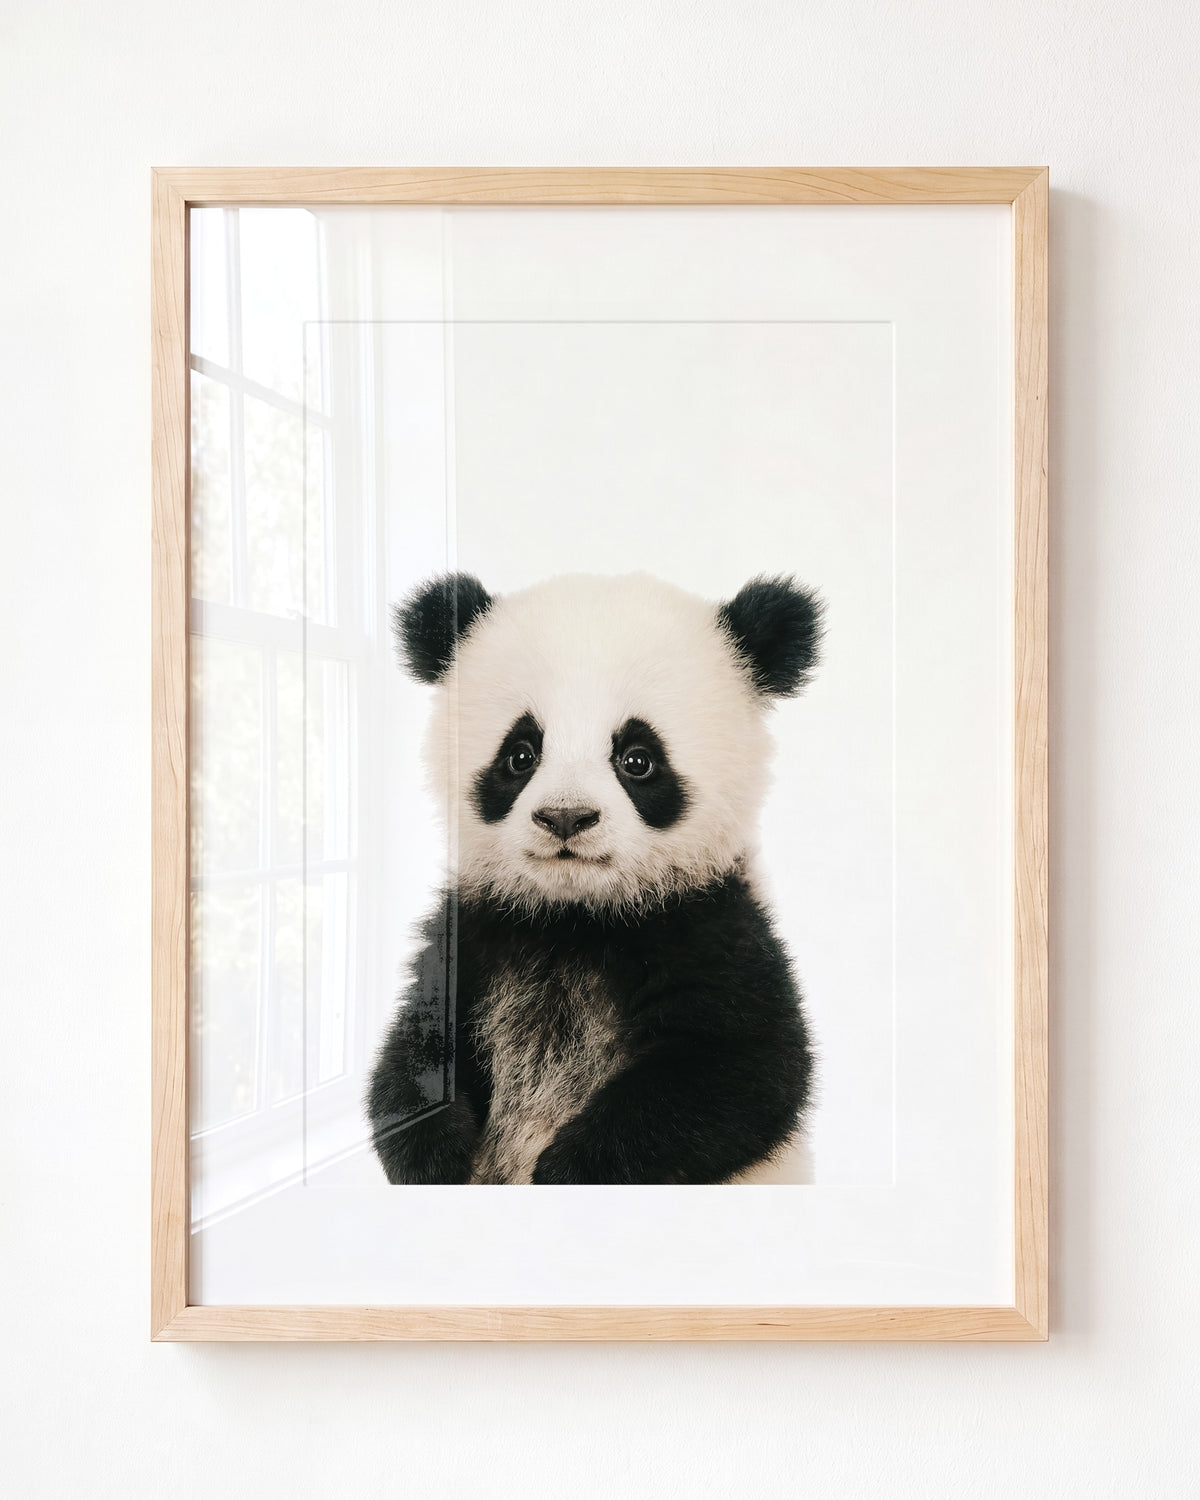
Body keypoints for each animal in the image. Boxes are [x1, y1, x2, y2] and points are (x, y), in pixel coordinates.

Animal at [367, 569, 823, 1185]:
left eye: (637, 758)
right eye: (520, 754)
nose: (566, 817)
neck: (577, 916)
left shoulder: (712, 927)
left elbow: (743, 1069)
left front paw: (567, 1170)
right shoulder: (475, 930)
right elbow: (414, 1052)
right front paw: (435, 1158)